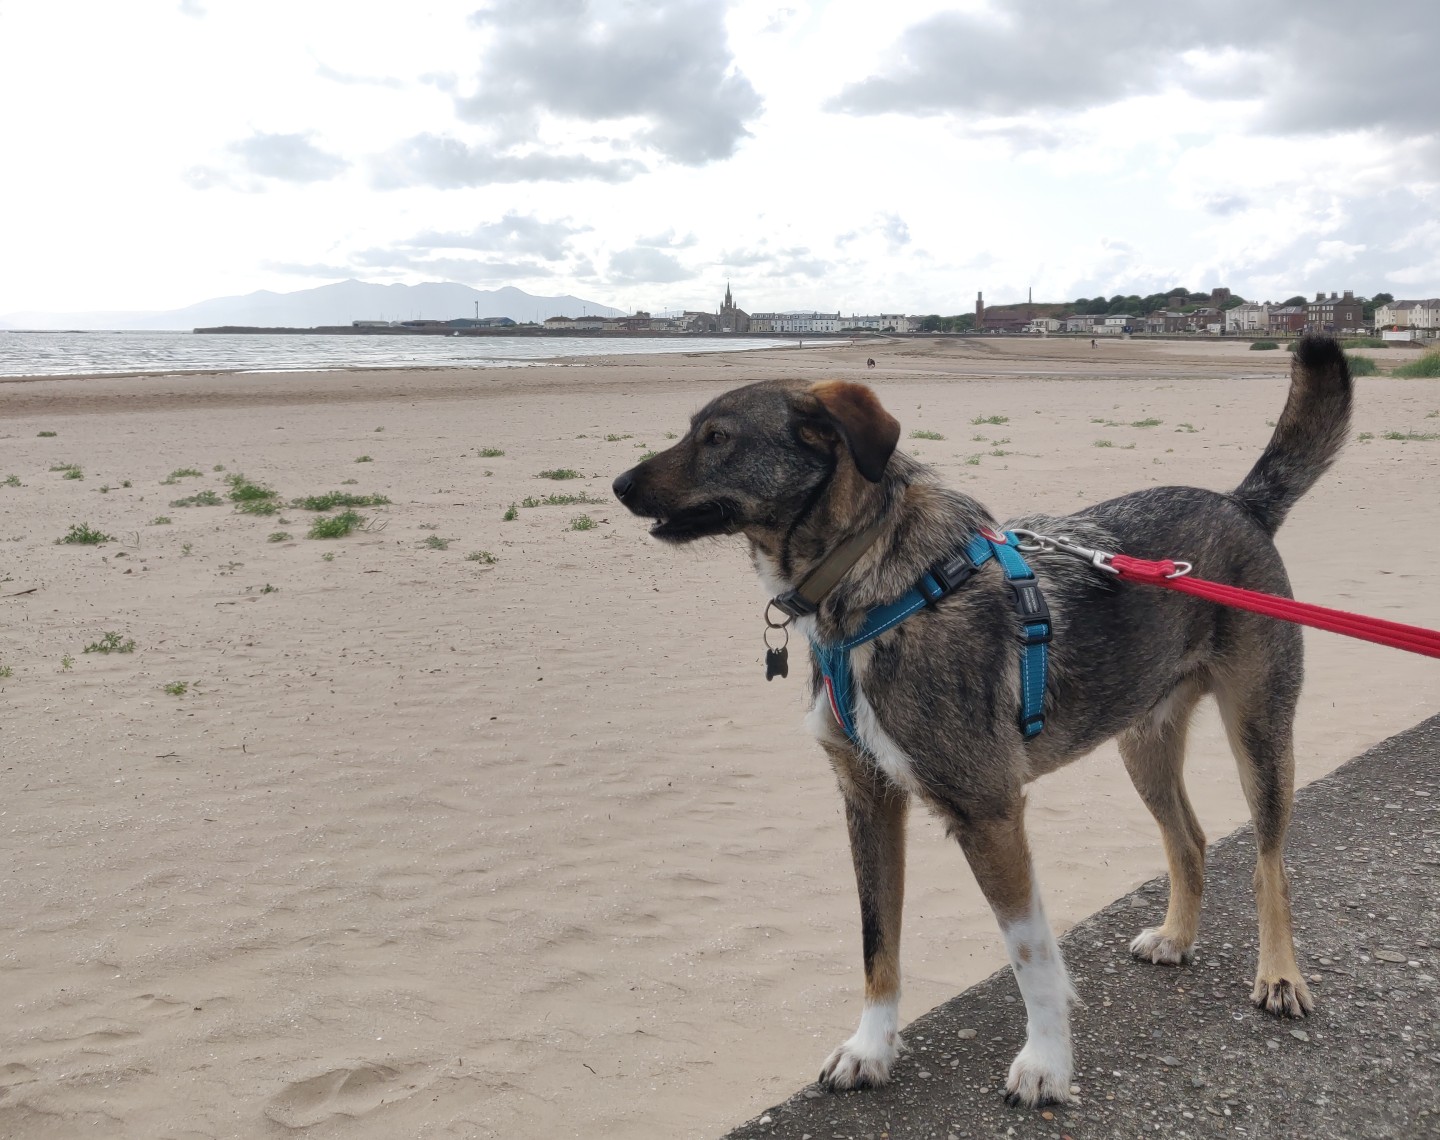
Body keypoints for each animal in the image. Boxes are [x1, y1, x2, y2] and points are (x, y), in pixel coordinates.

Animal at [607, 333, 1347, 1111]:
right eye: (693, 431)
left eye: (718, 438)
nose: (620, 484)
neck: (870, 585)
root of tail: (1239, 505)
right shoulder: (867, 800)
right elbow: (876, 938)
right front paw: (872, 1048)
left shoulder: (989, 812)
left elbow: (1030, 954)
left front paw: (1047, 1063)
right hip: (1143, 742)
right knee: (1190, 840)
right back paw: (1177, 936)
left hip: (1260, 732)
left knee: (1271, 864)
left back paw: (1280, 975)